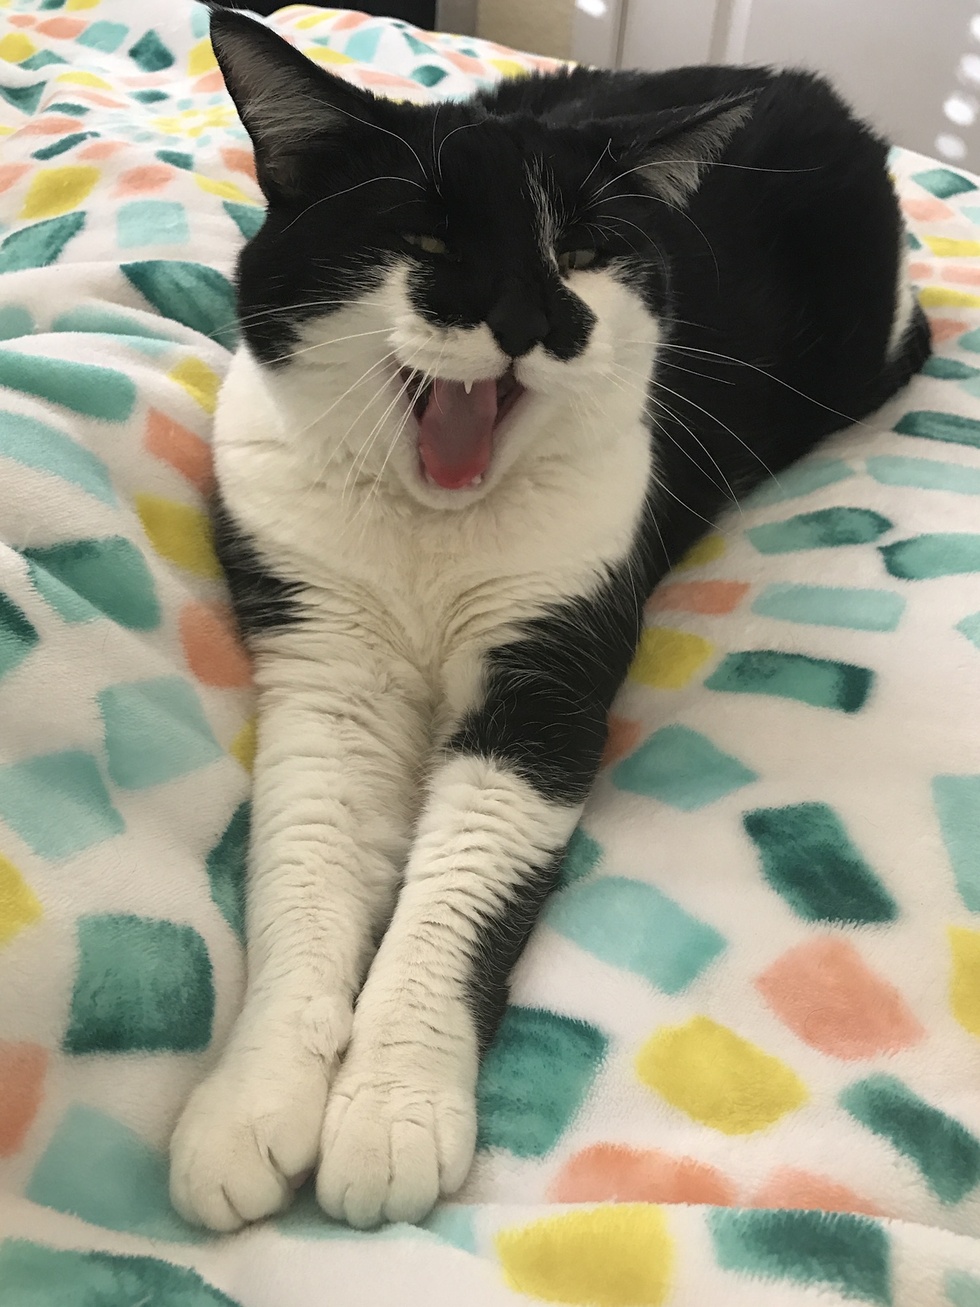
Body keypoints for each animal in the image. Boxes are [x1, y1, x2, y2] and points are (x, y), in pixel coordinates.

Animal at [169, 6, 930, 1232]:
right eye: (426, 241)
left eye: (580, 256)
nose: (542, 320)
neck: (431, 526)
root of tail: (808, 87)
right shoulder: (321, 648)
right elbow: (305, 864)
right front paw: (249, 1101)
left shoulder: (550, 668)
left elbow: (464, 880)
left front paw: (391, 1110)